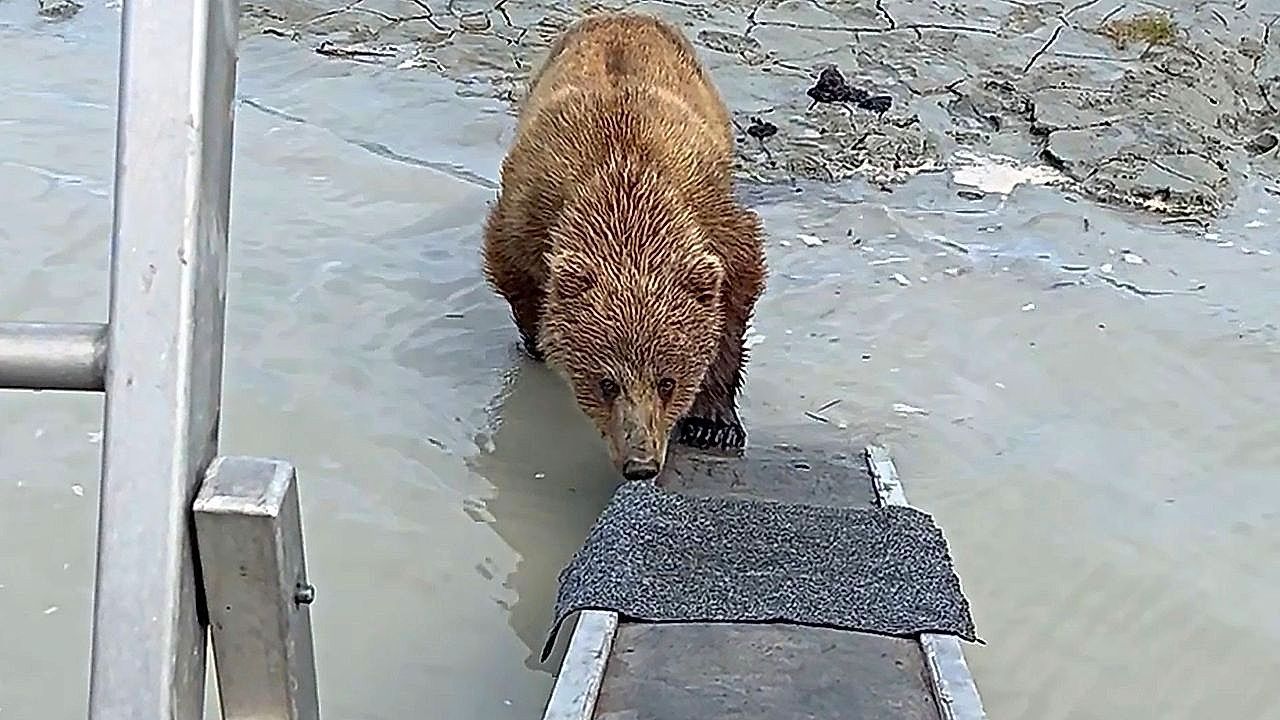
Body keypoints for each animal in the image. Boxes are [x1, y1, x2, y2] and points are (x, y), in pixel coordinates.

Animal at [481, 11, 767, 481]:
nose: (641, 463)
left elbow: (735, 297)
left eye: (667, 381)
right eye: (606, 383)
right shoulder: (530, 211)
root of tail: (620, 15)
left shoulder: (713, 217)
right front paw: (537, 341)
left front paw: (712, 422)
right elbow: (513, 272)